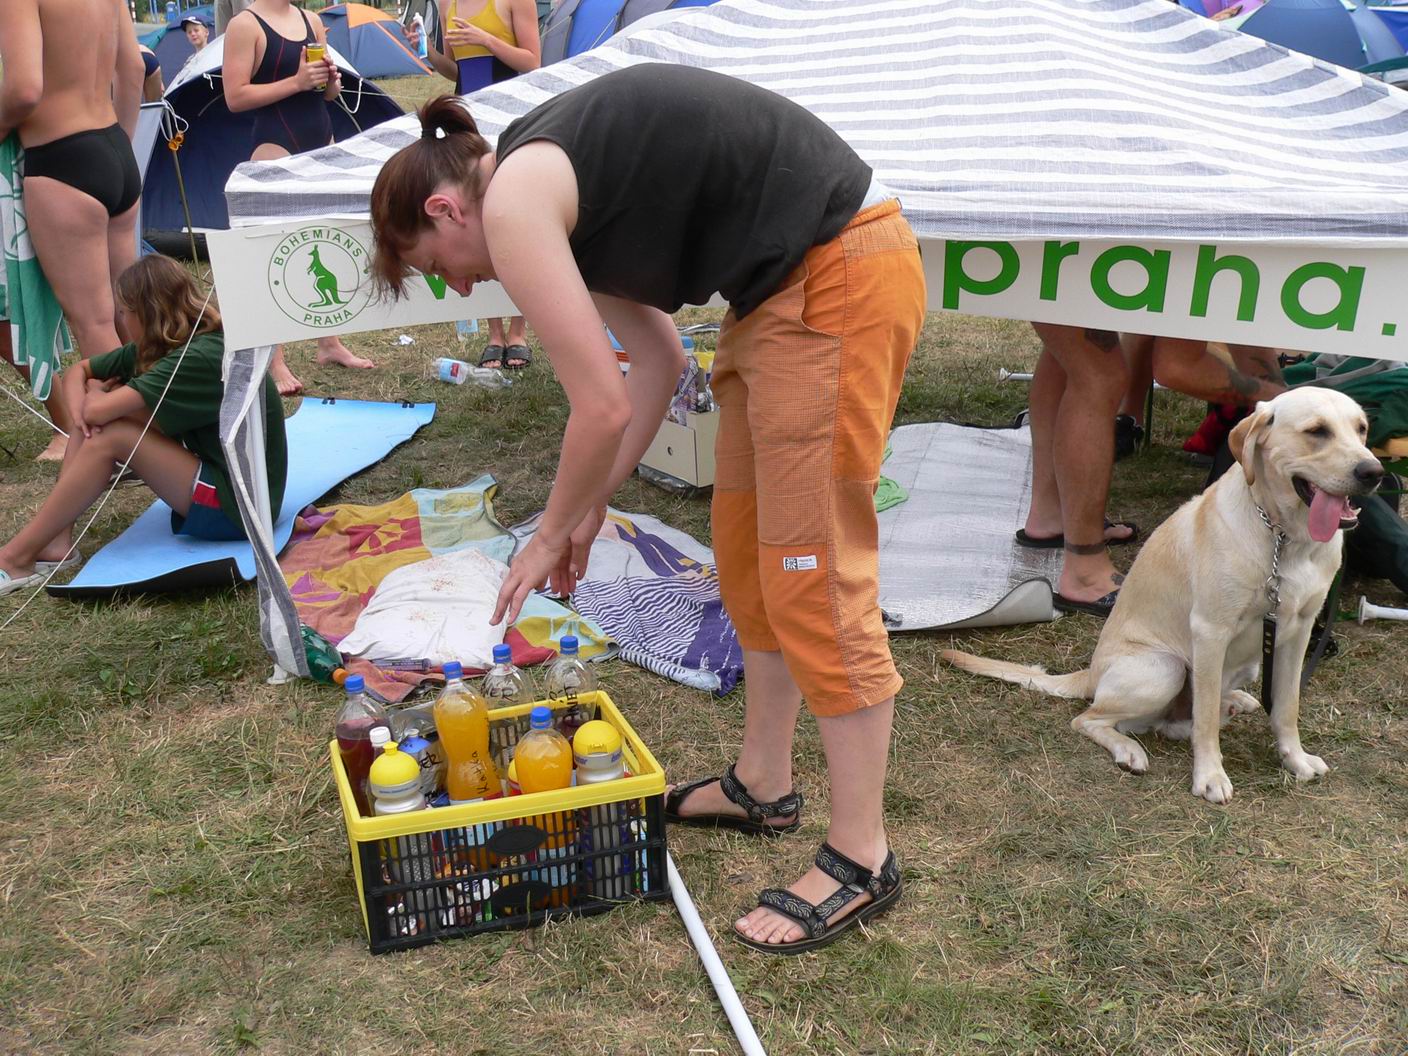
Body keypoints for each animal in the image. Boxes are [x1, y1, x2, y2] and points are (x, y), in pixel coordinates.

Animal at [943, 387, 1383, 803]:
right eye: (1317, 431)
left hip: (1249, 664)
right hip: (1165, 667)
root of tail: (1092, 674)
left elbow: (1286, 706)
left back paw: (1233, 702)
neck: (1284, 538)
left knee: (1180, 719)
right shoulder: (1211, 630)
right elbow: (1205, 723)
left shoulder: (1298, 630)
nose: (1374, 472)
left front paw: (1295, 759)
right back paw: (1129, 750)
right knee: (1093, 718)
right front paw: (1209, 777)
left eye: (1361, 429)